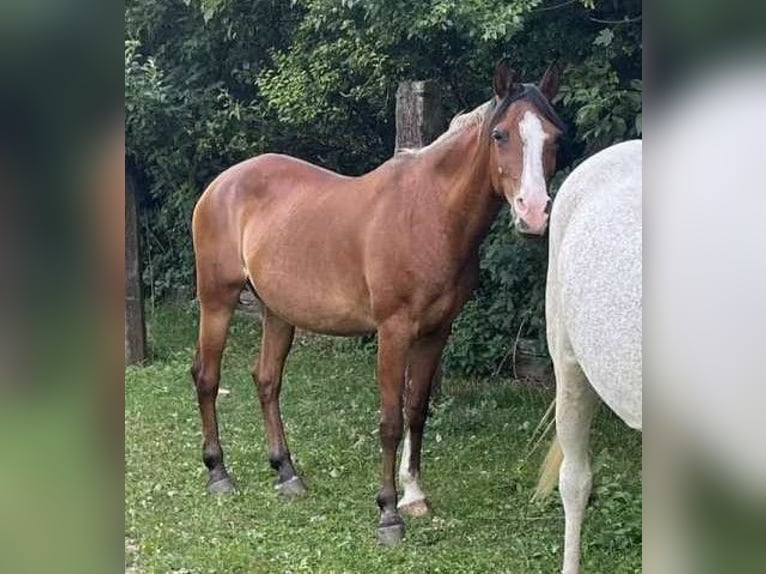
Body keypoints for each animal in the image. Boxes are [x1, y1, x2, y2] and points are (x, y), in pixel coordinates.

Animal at [190, 59, 568, 548]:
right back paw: (219, 473)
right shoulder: (394, 331)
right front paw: (388, 513)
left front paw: (414, 495)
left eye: (553, 137)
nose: (534, 212)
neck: (430, 213)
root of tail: (221, 183)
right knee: (207, 377)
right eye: (500, 134)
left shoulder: (436, 331)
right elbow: (390, 419)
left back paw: (286, 473)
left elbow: (417, 411)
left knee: (267, 381)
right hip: (217, 301)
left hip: (279, 313)